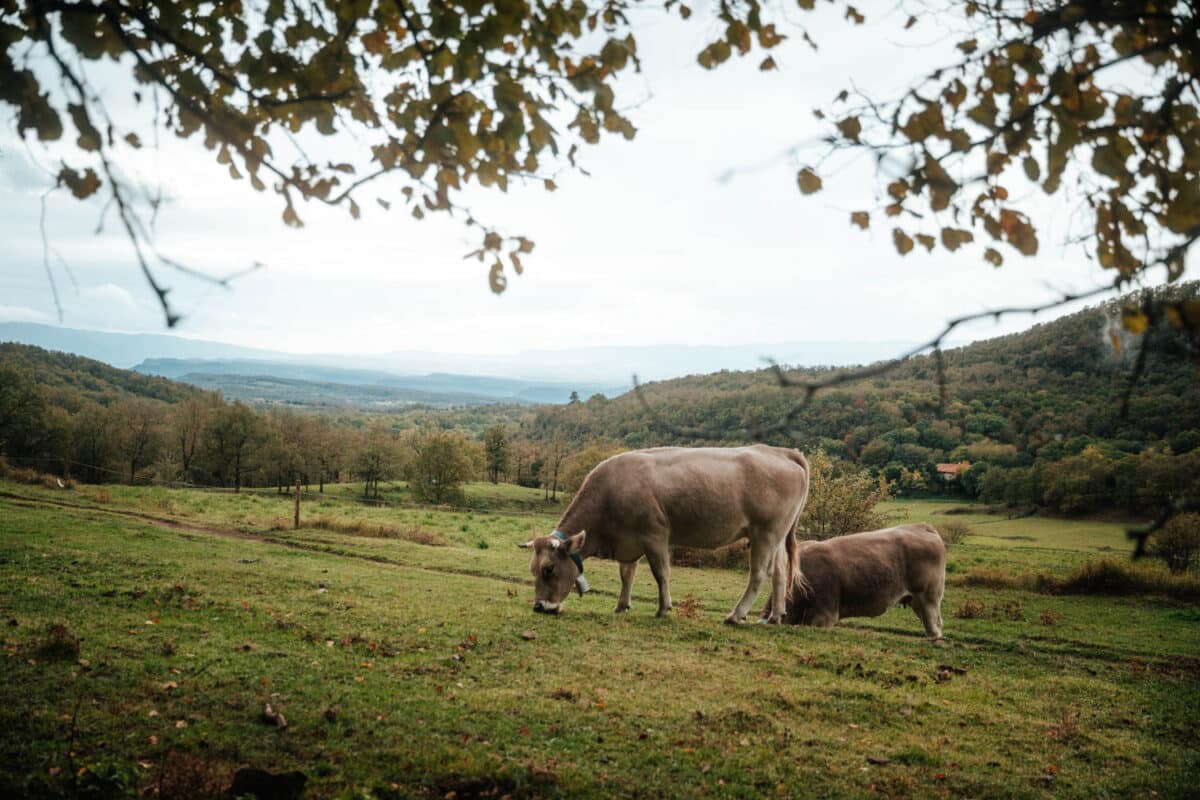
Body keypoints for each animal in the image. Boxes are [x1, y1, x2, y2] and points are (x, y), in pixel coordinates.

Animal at [520, 443, 811, 623]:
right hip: (776, 535)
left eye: (549, 568)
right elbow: (626, 573)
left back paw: (735, 615)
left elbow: (661, 573)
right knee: (780, 572)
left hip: (765, 532)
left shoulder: (655, 534)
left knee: (760, 574)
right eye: (532, 570)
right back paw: (774, 616)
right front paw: (622, 604)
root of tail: (780, 451)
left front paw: (663, 608)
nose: (539, 606)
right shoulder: (630, 539)